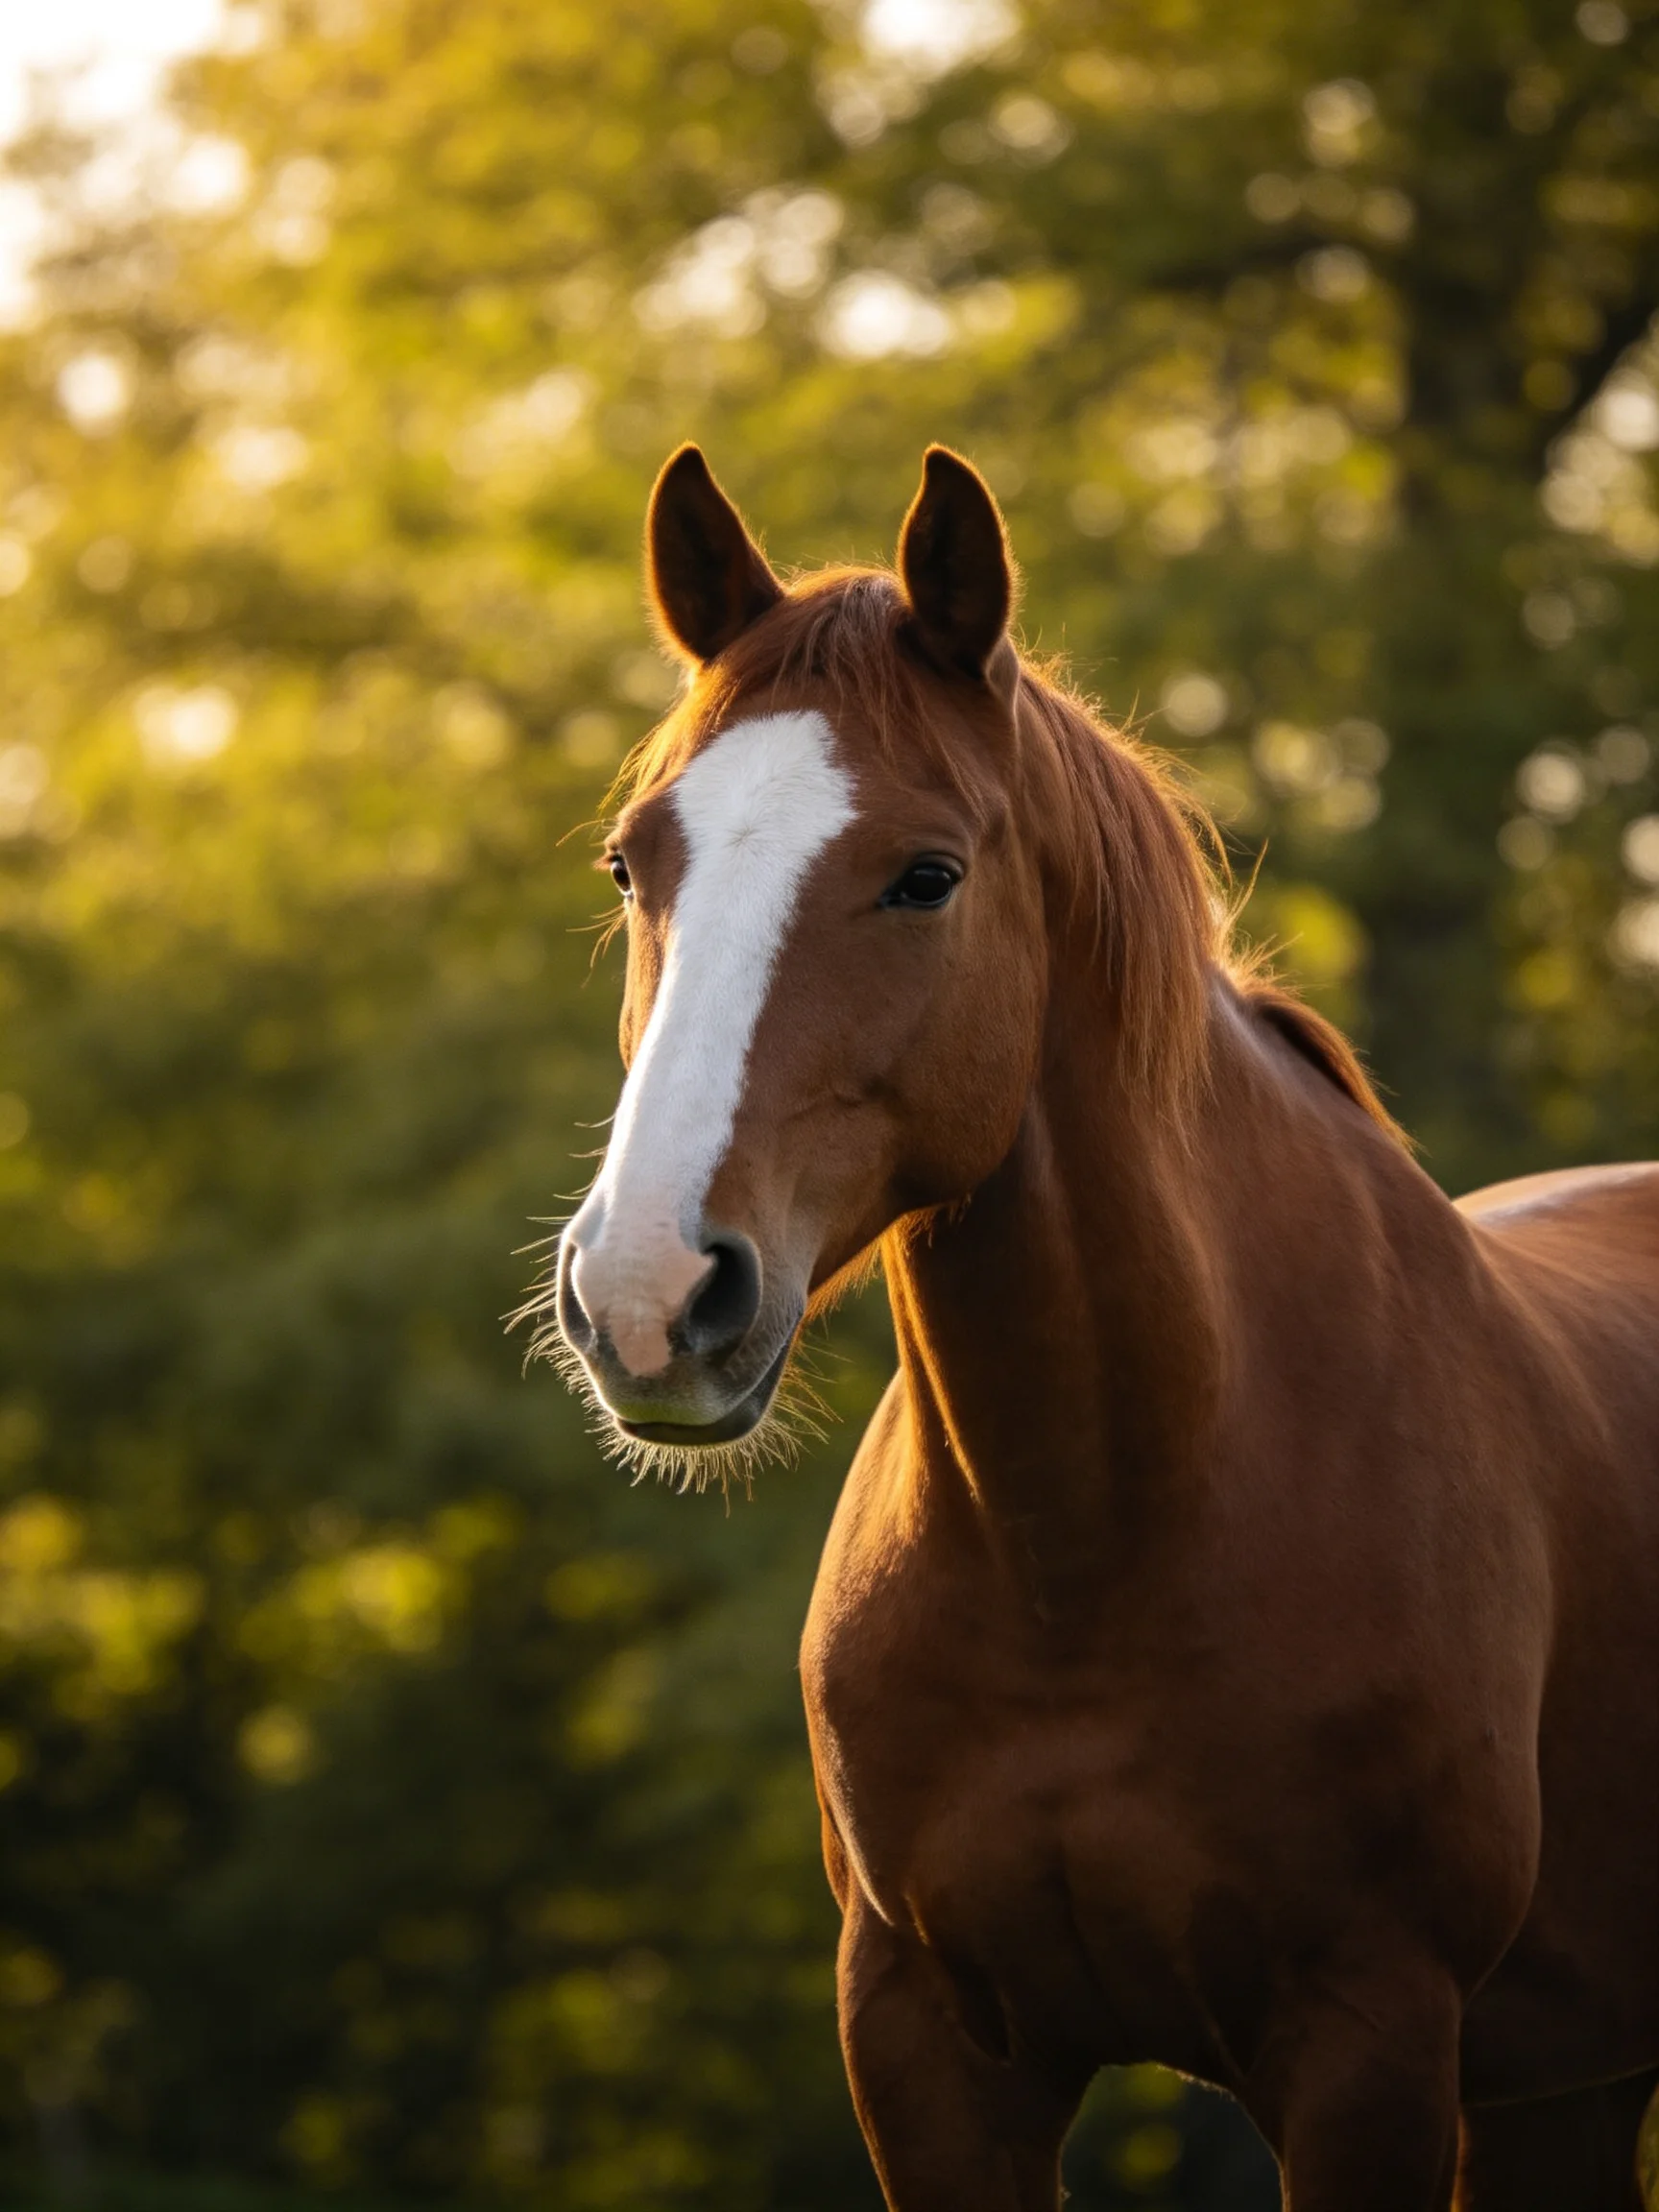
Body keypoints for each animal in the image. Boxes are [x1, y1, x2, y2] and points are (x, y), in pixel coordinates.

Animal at [533, 441, 1659, 2210]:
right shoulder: (928, 2053)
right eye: (634, 864)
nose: (647, 1296)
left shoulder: (1371, 2045)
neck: (1099, 1541)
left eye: (924, 875)